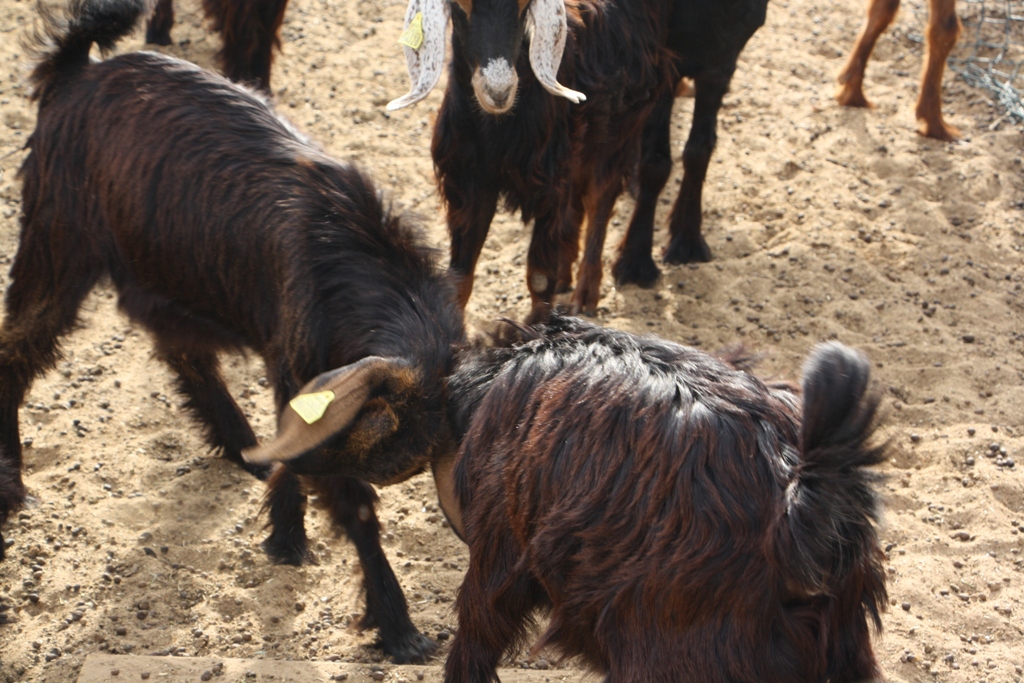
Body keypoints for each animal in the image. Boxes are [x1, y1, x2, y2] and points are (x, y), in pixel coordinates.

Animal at [385, 0, 770, 321]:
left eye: (524, 5)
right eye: (460, 5)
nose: (498, 90)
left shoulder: (551, 180)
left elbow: (538, 277)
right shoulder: (469, 182)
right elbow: (460, 280)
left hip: (617, 129)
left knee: (604, 196)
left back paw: (592, 287)